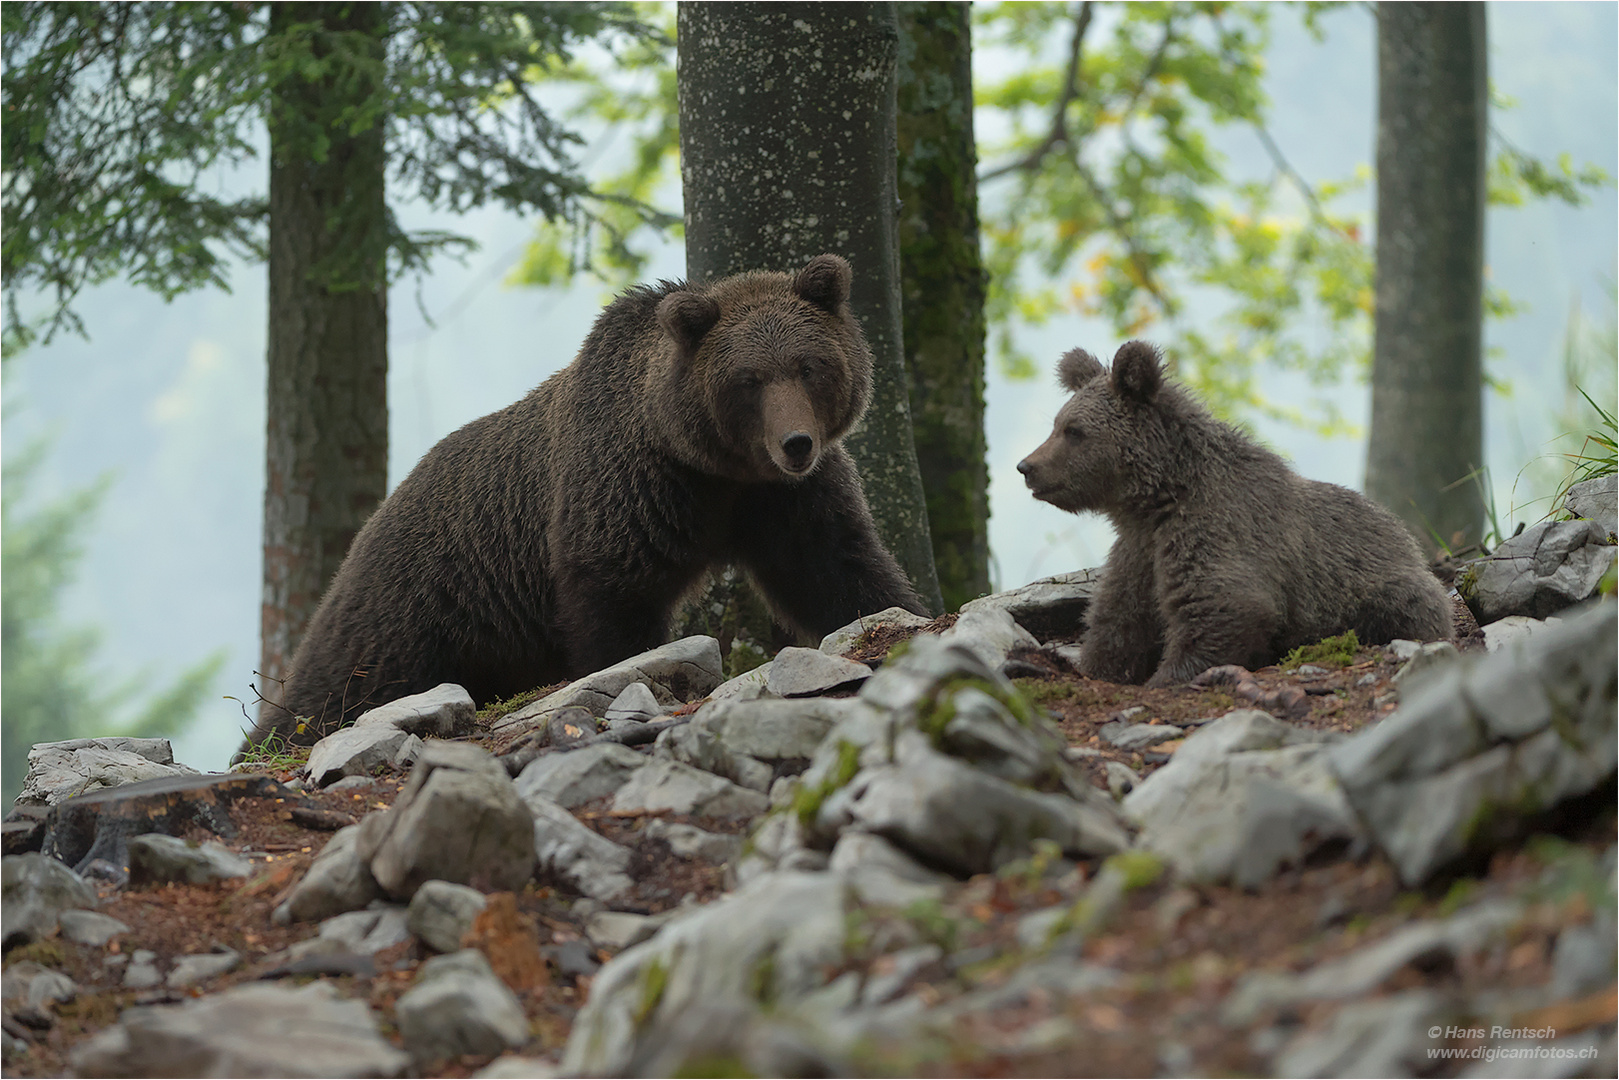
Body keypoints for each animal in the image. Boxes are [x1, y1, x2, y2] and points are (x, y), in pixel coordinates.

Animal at [241, 257, 926, 757]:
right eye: (749, 379)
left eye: (810, 365)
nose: (796, 442)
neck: (711, 467)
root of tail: (375, 517)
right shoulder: (628, 492)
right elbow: (613, 603)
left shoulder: (780, 500)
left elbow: (834, 566)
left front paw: (903, 613)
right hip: (416, 604)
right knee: (338, 685)